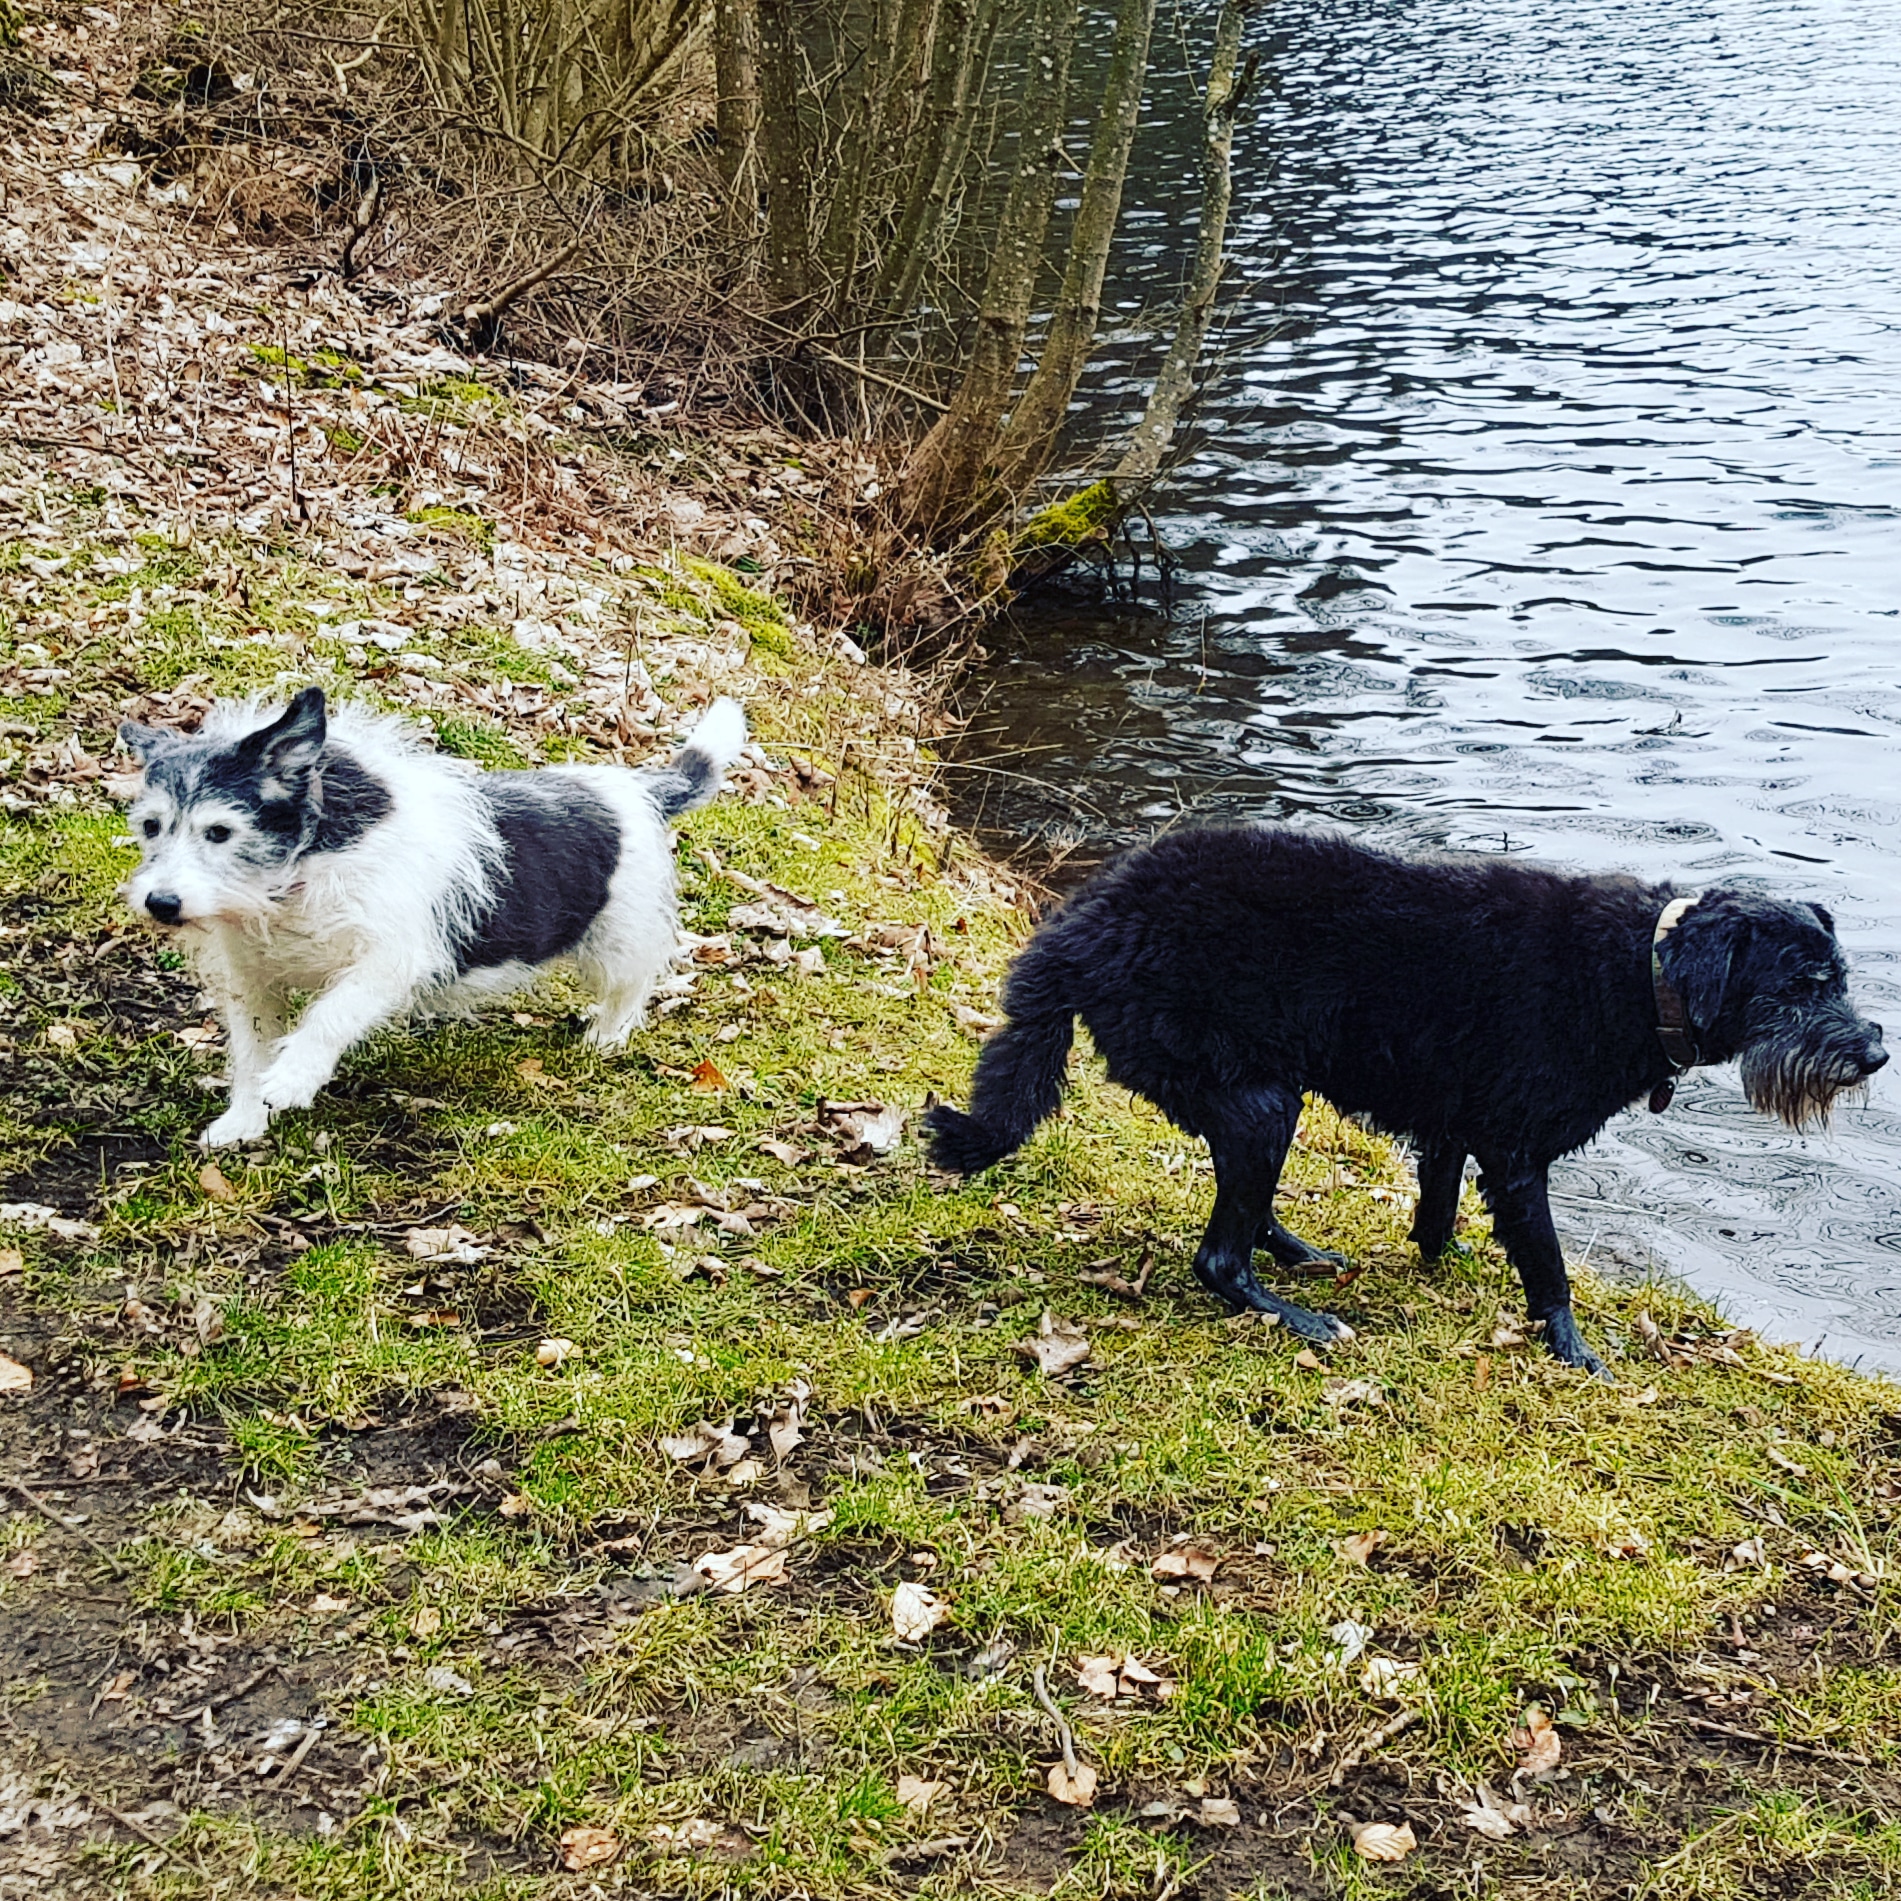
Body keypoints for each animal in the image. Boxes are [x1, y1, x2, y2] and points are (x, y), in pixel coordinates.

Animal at [119, 687, 747, 1148]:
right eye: (151, 826)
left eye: (219, 832)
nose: (161, 904)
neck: (301, 869)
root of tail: (640, 787)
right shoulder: (252, 982)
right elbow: (252, 1052)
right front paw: (245, 1119)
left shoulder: (390, 960)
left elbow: (330, 1014)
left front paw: (295, 1077)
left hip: (617, 939)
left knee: (634, 985)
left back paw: (606, 1036)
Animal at [927, 826, 1887, 1374]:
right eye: (1799, 986)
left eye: (1837, 977)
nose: (1873, 1051)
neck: (1639, 970)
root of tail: (1082, 927)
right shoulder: (1514, 1153)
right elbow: (1548, 1264)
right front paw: (1573, 1352)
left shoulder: (1452, 1131)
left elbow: (1435, 1213)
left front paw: (1444, 1262)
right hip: (1258, 1098)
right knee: (1217, 1258)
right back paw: (1295, 1315)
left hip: (1242, 1094)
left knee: (1245, 1210)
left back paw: (1299, 1255)